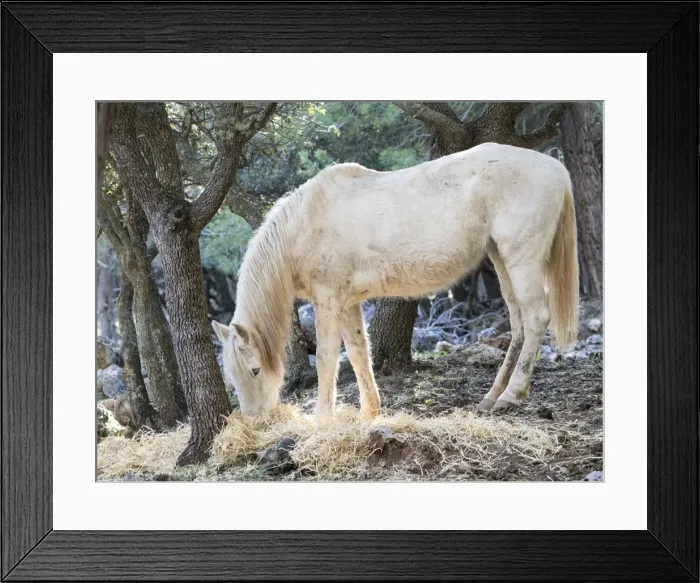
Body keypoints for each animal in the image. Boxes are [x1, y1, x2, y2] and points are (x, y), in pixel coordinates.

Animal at [213, 142, 579, 420]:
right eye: (230, 377)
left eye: (255, 370)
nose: (254, 421)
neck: (303, 225)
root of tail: (554, 167)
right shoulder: (347, 302)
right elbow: (359, 352)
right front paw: (370, 412)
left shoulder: (328, 301)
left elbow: (328, 360)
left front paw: (323, 420)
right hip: (501, 260)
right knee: (518, 324)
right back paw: (492, 396)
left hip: (522, 260)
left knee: (536, 319)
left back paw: (512, 395)